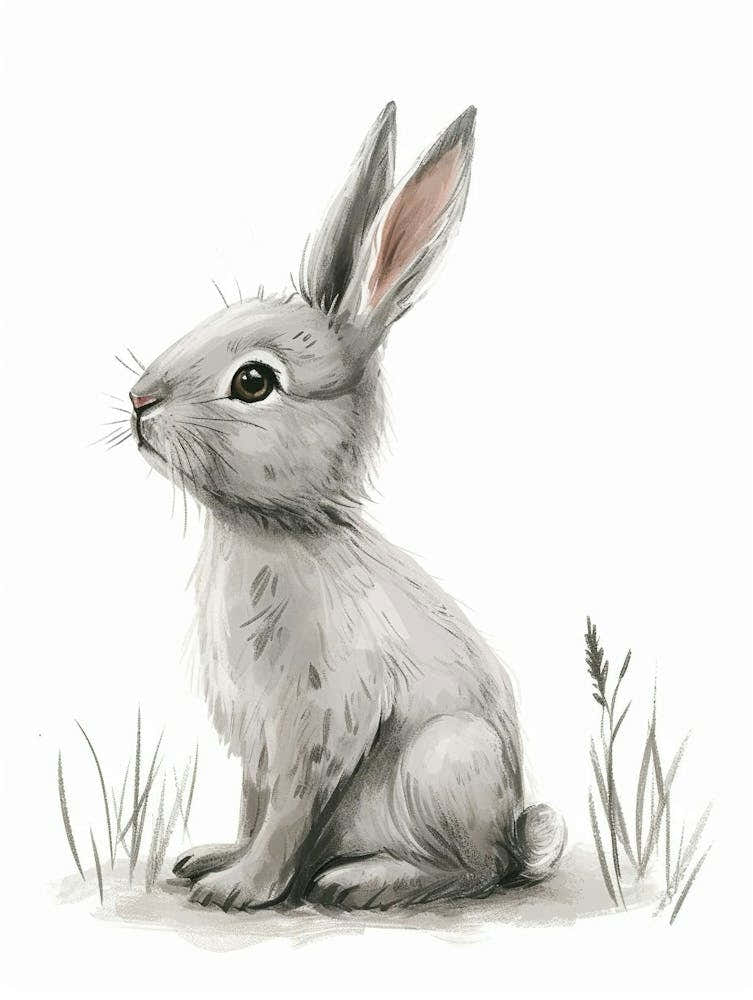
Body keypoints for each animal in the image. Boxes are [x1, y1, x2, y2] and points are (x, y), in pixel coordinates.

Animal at [127, 102, 566, 911]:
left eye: (253, 382)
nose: (138, 401)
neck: (276, 527)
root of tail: (517, 837)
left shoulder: (317, 727)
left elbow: (287, 815)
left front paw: (242, 890)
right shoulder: (255, 748)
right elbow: (254, 806)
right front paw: (214, 861)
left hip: (443, 761)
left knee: (473, 872)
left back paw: (362, 880)